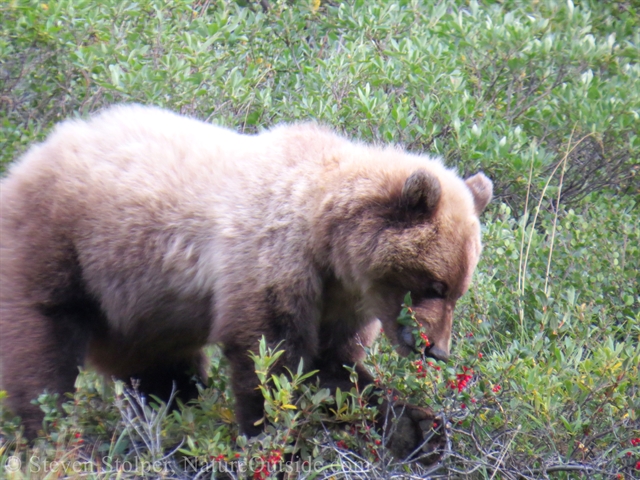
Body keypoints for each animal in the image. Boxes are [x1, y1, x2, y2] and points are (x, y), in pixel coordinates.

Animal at [0, 106, 492, 462]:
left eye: (458, 290)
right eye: (434, 284)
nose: (436, 349)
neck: (326, 242)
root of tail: (27, 158)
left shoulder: (341, 300)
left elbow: (334, 367)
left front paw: (420, 428)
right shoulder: (273, 259)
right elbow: (270, 358)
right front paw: (272, 440)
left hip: (137, 308)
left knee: (160, 369)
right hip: (63, 248)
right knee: (43, 351)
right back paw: (54, 439)